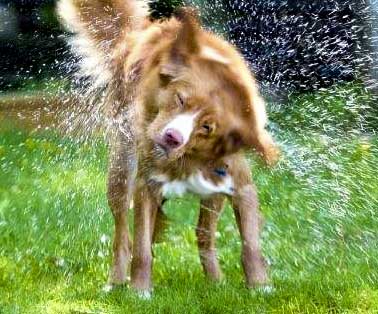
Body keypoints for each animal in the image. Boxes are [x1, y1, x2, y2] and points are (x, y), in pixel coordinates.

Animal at [57, 0, 280, 294]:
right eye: (180, 99)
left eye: (207, 127)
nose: (172, 137)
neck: (189, 157)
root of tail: (141, 32)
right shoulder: (146, 186)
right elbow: (141, 250)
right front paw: (140, 291)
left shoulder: (240, 186)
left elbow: (250, 245)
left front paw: (260, 287)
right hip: (121, 170)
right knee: (123, 236)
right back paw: (116, 281)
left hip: (212, 197)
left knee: (203, 236)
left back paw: (215, 281)